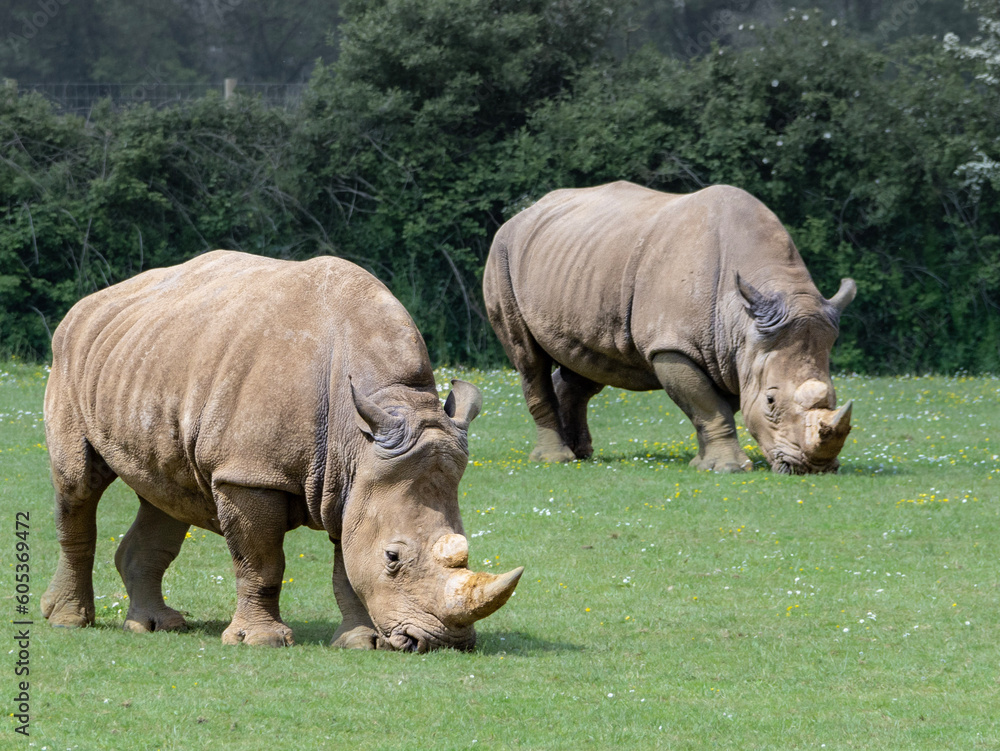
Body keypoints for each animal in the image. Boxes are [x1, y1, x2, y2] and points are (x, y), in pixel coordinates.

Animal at [41, 250, 522, 652]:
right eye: (393, 558)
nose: (443, 642)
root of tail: (91, 302)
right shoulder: (249, 474)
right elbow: (261, 562)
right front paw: (261, 641)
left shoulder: (353, 480)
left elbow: (346, 562)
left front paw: (358, 642)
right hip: (68, 359)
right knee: (78, 485)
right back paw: (68, 621)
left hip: (148, 363)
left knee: (164, 493)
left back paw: (158, 626)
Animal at [483, 181, 855, 474]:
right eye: (771, 401)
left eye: (835, 396)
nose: (813, 468)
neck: (742, 322)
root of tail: (522, 214)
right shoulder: (674, 346)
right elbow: (708, 405)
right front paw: (728, 469)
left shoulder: (729, 353)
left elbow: (712, 406)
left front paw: (706, 464)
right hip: (502, 255)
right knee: (529, 359)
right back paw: (555, 460)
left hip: (582, 267)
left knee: (587, 360)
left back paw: (582, 455)